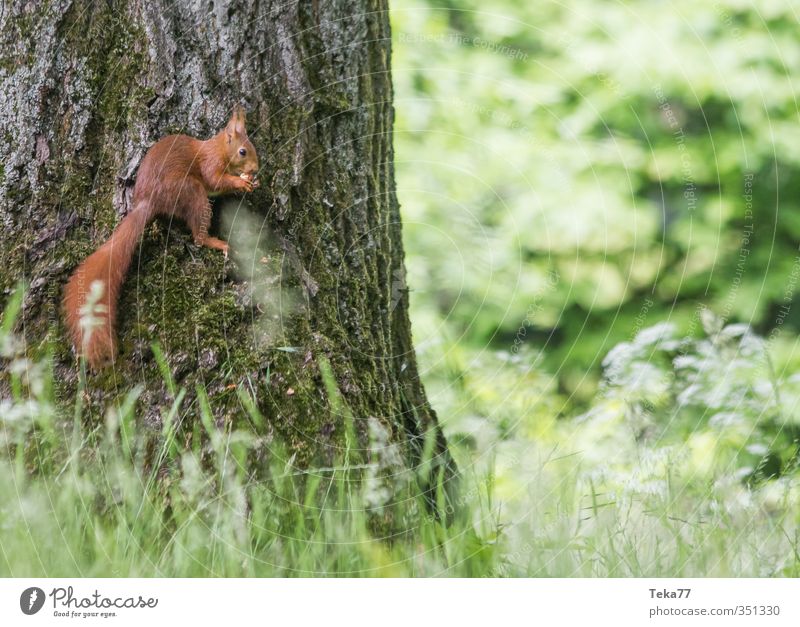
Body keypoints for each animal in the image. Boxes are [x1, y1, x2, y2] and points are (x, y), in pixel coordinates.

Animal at [66, 106, 260, 368]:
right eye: (242, 151)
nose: (255, 169)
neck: (218, 148)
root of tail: (149, 200)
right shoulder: (210, 164)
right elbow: (216, 180)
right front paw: (241, 182)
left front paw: (250, 182)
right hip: (190, 191)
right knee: (198, 235)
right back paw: (216, 242)